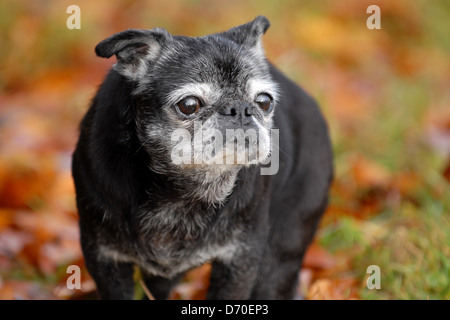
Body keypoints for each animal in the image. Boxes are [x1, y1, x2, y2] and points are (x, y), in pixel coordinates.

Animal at [72, 15, 332, 300]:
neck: (182, 191)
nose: (240, 108)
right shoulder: (104, 257)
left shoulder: (240, 259)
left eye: (264, 101)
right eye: (189, 105)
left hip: (281, 252)